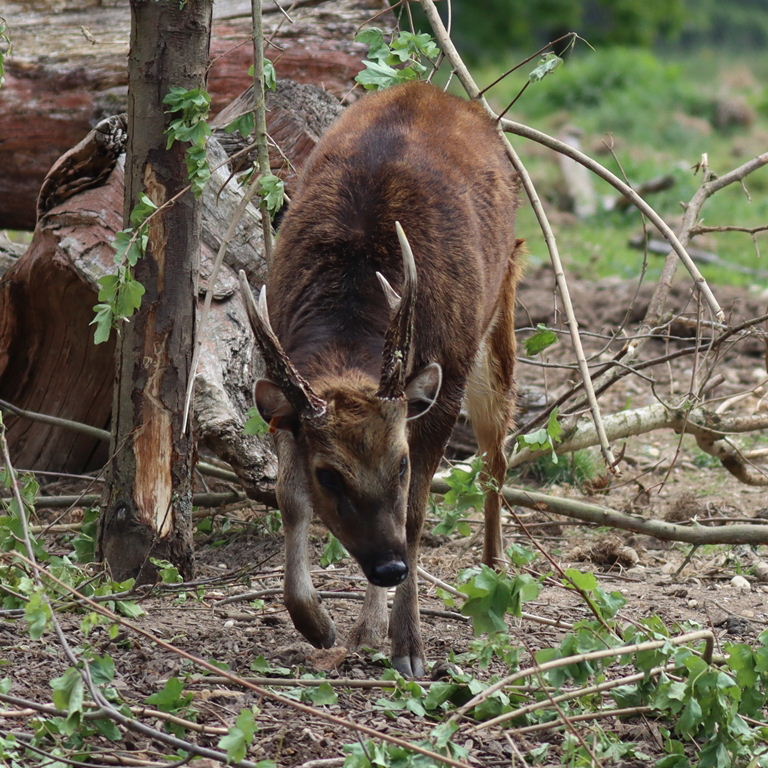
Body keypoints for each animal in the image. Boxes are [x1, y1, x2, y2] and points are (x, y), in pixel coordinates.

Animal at [239, 80, 522, 678]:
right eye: (329, 475)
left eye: (401, 463)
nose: (389, 568)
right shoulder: (284, 389)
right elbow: (288, 497)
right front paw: (317, 622)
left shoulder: (441, 385)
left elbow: (413, 515)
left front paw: (409, 647)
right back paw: (367, 625)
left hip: (499, 309)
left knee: (496, 451)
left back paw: (495, 565)